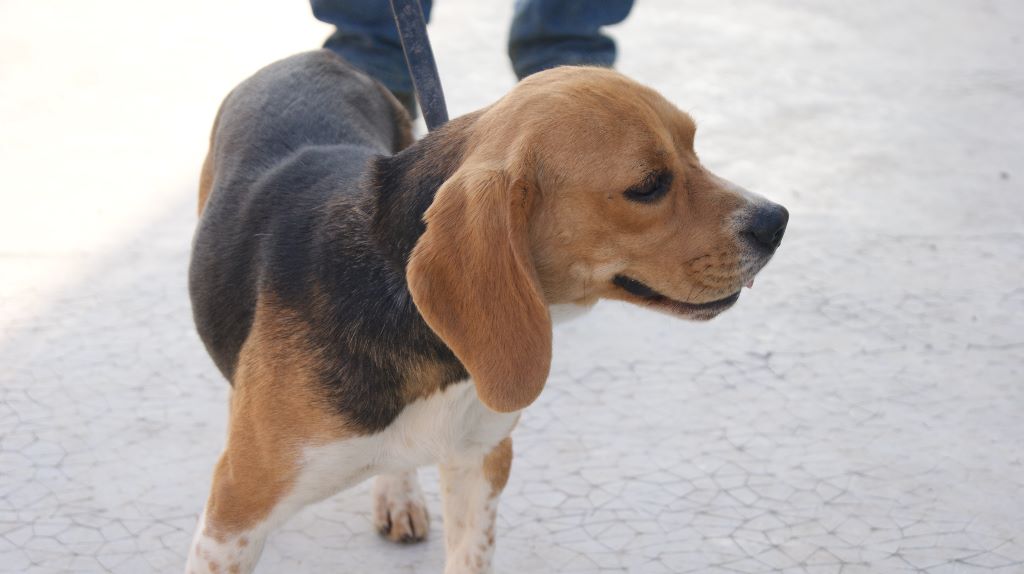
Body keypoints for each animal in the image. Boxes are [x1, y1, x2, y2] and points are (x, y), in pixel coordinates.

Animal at [186, 50, 790, 572]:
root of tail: (316, 55)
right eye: (647, 186)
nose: (777, 221)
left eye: (694, 147)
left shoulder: (481, 460)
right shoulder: (233, 517)